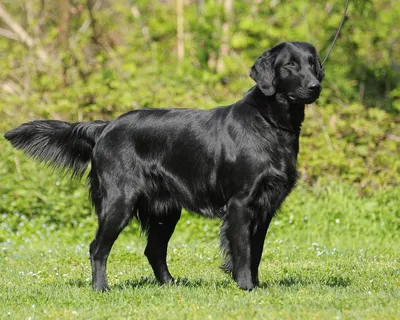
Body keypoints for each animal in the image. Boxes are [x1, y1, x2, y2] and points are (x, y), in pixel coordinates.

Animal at [4, 42, 324, 290]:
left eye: (313, 63)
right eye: (290, 65)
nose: (315, 86)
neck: (269, 123)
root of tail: (105, 127)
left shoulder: (266, 206)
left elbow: (256, 250)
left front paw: (255, 285)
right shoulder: (240, 203)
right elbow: (243, 251)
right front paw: (246, 287)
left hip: (165, 210)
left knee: (153, 250)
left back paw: (171, 284)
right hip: (120, 200)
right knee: (98, 248)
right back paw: (101, 287)